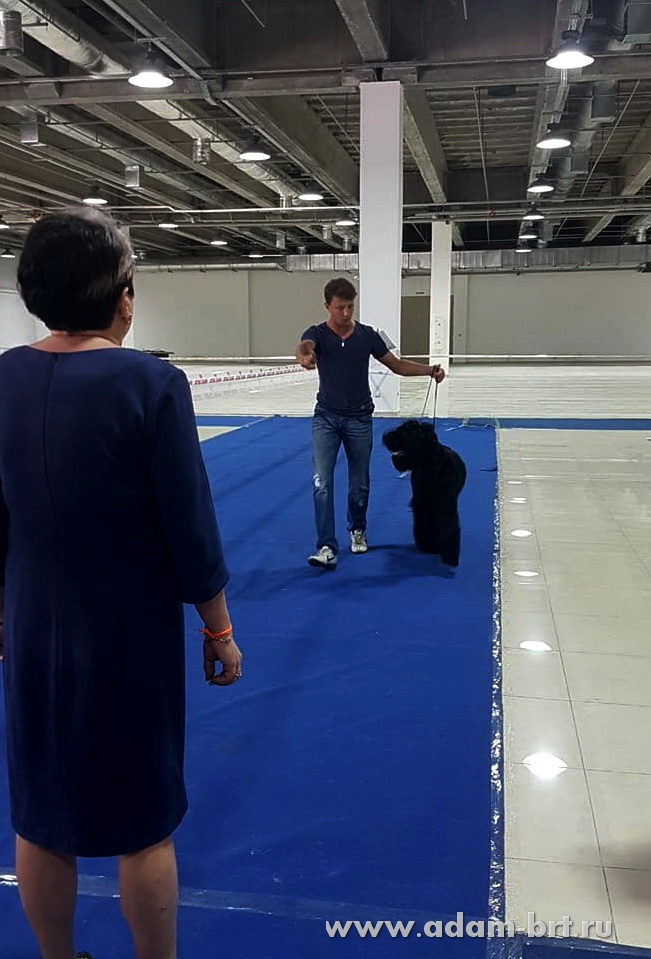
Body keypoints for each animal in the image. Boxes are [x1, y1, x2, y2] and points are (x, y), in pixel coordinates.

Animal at [382, 420, 467, 567]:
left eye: (406, 432)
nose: (386, 436)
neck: (429, 466)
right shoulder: (425, 503)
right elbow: (430, 525)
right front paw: (432, 547)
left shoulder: (446, 505)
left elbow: (449, 527)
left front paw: (450, 556)